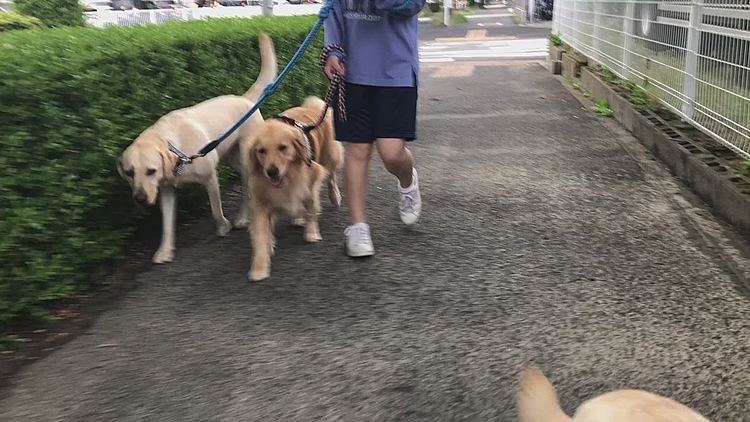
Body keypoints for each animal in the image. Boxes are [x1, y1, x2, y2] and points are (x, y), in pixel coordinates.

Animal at [119, 33, 278, 264]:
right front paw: (164, 251)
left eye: (151, 171)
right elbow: (167, 224)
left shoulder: (210, 177)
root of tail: (244, 99)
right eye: (130, 173)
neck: (176, 150)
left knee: (248, 185)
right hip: (232, 157)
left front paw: (223, 227)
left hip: (245, 156)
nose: (140, 199)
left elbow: (215, 210)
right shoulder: (166, 189)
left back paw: (242, 217)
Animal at [244, 95, 344, 280]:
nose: (272, 172)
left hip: (329, 156)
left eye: (283, 148)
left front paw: (311, 233)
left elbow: (311, 209)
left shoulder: (310, 181)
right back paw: (297, 218)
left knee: (331, 176)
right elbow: (260, 236)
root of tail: (312, 107)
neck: (288, 177)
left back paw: (334, 196)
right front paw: (259, 268)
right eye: (261, 151)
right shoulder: (260, 201)